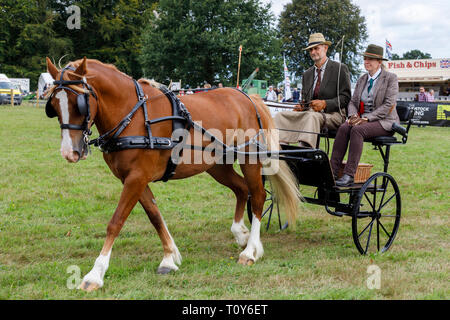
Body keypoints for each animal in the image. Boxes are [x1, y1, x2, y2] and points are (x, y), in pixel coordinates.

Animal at [44, 57, 298, 292]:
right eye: (53, 105)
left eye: (79, 103)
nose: (69, 152)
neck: (133, 115)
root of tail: (248, 97)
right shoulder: (134, 179)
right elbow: (155, 216)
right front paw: (169, 257)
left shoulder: (136, 178)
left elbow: (116, 222)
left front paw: (94, 275)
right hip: (217, 165)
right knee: (242, 189)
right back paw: (240, 233)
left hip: (249, 158)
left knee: (258, 197)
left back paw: (251, 251)